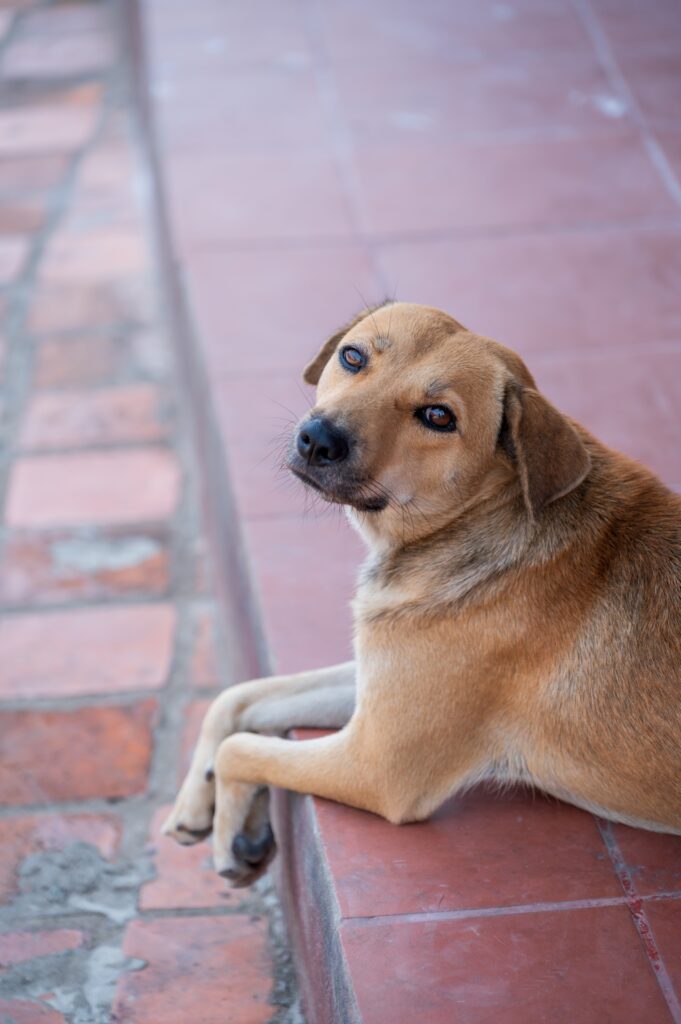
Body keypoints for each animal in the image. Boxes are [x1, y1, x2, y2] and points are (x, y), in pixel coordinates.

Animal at [163, 299, 679, 884]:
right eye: (353, 356)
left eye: (438, 416)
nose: (317, 438)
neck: (479, 519)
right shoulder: (377, 681)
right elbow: (236, 699)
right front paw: (196, 803)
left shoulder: (374, 764)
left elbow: (240, 749)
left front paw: (231, 831)